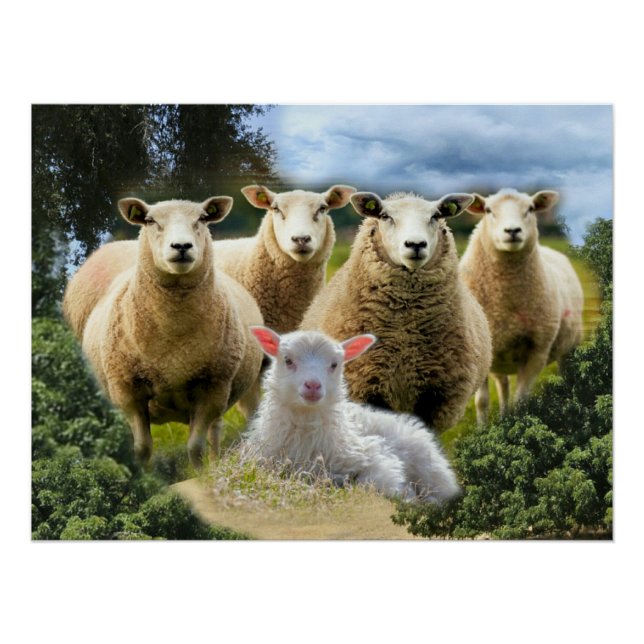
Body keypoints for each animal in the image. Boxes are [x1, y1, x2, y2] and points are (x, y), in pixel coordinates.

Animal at [78, 196, 264, 468]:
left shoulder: (213, 389)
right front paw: (142, 474)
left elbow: (195, 446)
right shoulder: (127, 391)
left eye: (202, 218)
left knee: (215, 431)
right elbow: (142, 447)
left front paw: (200, 472)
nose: (182, 246)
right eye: (150, 220)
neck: (173, 336)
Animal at [243, 327, 460, 503]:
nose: (312, 385)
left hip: (430, 468)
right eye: (288, 360)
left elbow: (374, 481)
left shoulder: (374, 455)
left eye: (334, 364)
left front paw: (407, 496)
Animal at [300, 191, 492, 433]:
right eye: (384, 216)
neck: (404, 333)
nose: (415, 244)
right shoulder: (366, 386)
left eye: (436, 216)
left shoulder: (435, 395)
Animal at [458, 188, 584, 423]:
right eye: (488, 210)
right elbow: (482, 402)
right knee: (503, 387)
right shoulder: (478, 353)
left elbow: (521, 401)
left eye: (531, 209)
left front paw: (517, 425)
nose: (512, 231)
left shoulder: (538, 351)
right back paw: (503, 417)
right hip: (498, 356)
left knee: (566, 374)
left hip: (569, 346)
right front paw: (484, 429)